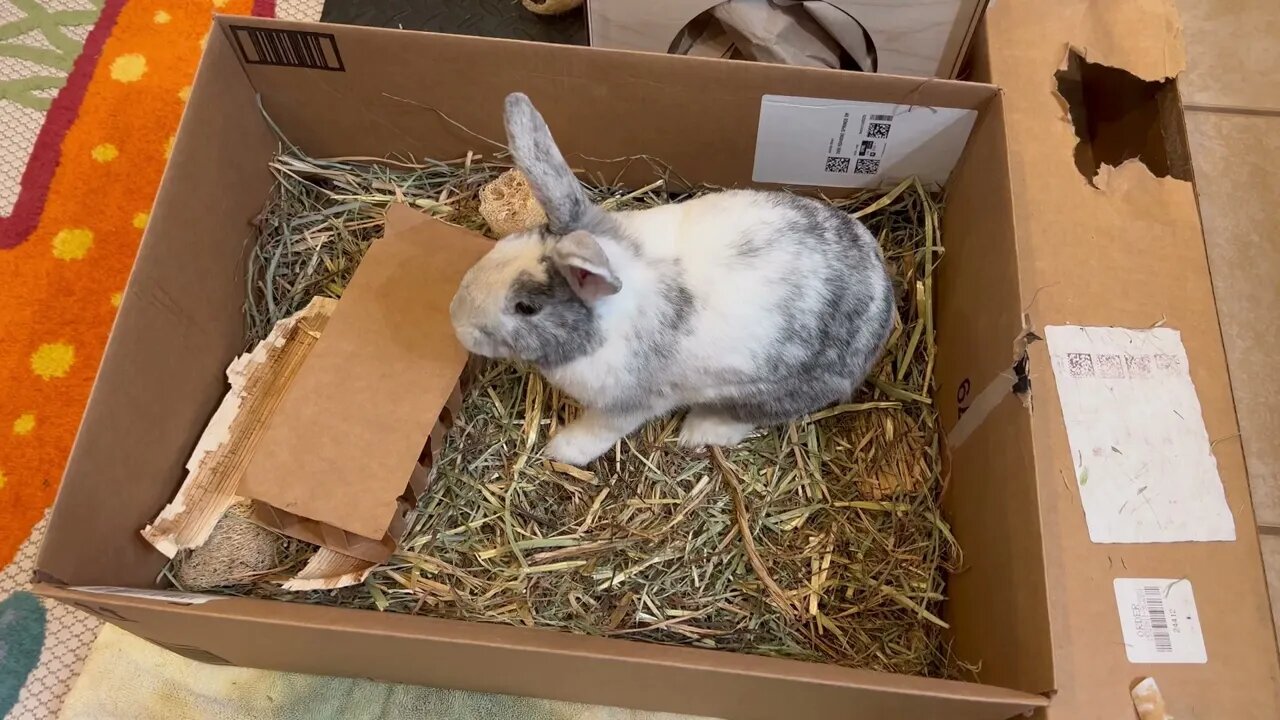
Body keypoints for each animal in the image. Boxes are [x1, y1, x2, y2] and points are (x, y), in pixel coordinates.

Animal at [450, 92, 901, 466]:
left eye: (527, 307)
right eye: (506, 243)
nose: (457, 322)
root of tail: (884, 295)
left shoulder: (630, 404)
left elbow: (601, 429)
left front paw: (560, 450)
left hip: (774, 390)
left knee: (756, 414)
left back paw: (699, 431)